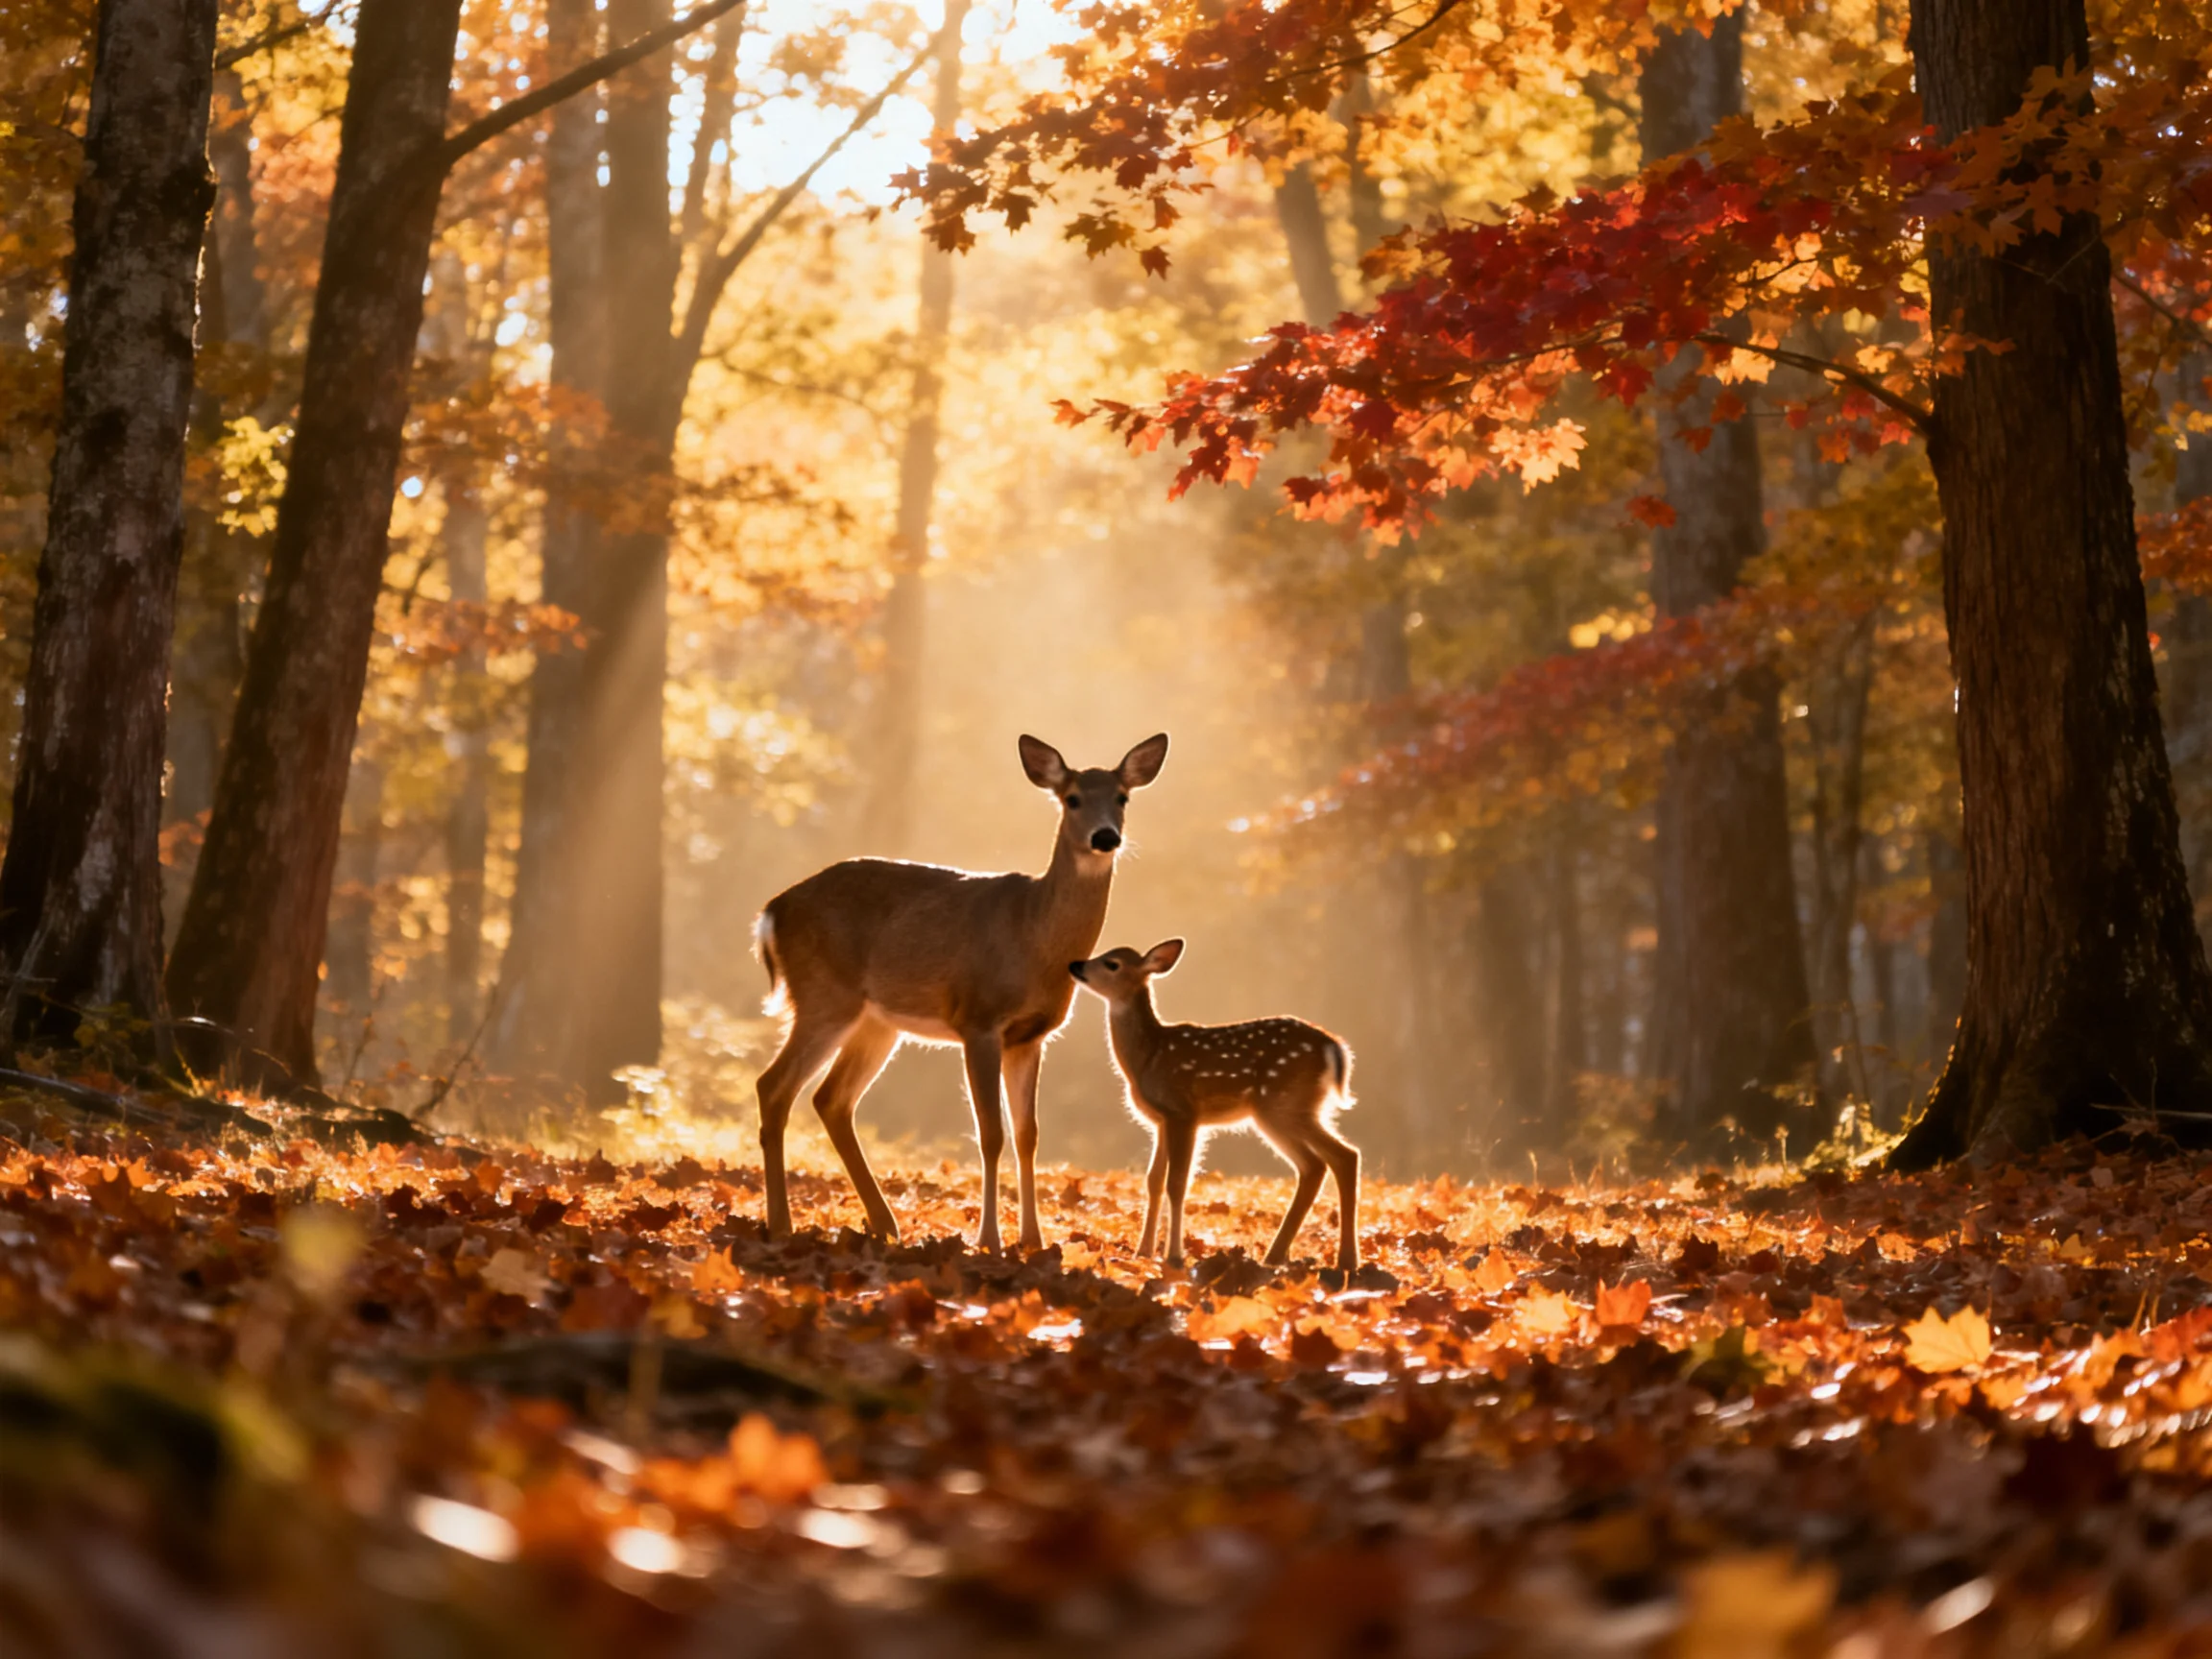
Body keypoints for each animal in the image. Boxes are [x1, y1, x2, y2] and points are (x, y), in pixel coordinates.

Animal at [752, 733, 1170, 1252]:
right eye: (1071, 798)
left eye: (1122, 797)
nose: (1106, 837)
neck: (1034, 936)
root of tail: (771, 912)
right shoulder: (980, 1019)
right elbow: (990, 1133)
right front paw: (989, 1239)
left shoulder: (1031, 1036)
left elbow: (1028, 1134)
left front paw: (1033, 1239)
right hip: (824, 995)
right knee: (773, 1086)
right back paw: (781, 1224)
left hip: (877, 1021)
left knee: (831, 1099)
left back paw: (884, 1224)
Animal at [1070, 939, 1360, 1273]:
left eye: (1112, 963)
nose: (1075, 965)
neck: (1146, 1058)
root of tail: (1333, 1048)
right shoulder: (1161, 1120)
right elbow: (1153, 1180)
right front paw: (1143, 1252)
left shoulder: (1184, 1112)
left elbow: (1177, 1182)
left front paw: (1174, 1256)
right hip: (1298, 1108)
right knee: (1326, 1162)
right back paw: (1296, 1257)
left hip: (1281, 1105)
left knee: (1335, 1158)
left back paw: (1325, 1259)